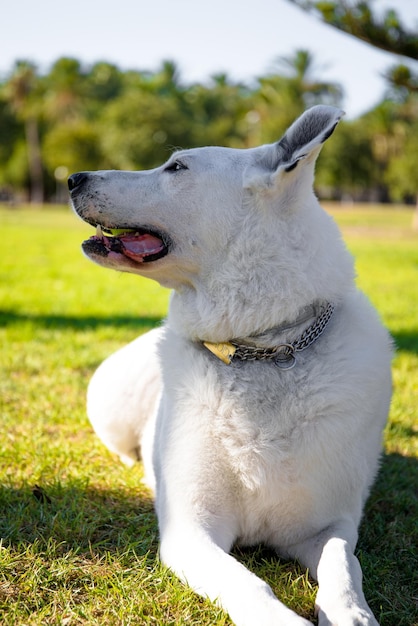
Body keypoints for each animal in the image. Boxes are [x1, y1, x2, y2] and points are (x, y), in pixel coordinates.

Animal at [68, 107, 392, 624]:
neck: (262, 349)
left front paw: (353, 614)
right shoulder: (192, 530)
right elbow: (250, 585)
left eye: (176, 167)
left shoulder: (328, 526)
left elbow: (344, 567)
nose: (73, 178)